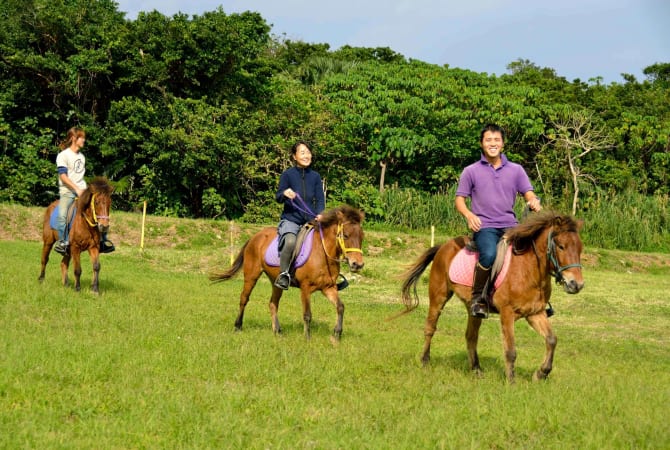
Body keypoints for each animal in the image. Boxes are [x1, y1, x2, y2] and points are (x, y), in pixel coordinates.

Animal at [209, 204, 365, 342]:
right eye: (346, 235)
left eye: (361, 236)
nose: (358, 264)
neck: (323, 253)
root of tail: (255, 237)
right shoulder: (305, 288)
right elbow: (307, 314)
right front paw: (307, 339)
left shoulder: (328, 288)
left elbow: (340, 307)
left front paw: (336, 335)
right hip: (251, 276)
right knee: (244, 299)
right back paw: (238, 326)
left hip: (276, 282)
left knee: (273, 304)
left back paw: (277, 331)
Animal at [398, 211, 584, 382]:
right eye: (561, 246)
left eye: (580, 248)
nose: (577, 284)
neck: (528, 270)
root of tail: (444, 245)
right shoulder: (507, 313)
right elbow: (510, 350)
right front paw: (511, 381)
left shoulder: (535, 313)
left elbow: (552, 340)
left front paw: (541, 373)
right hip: (438, 297)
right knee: (430, 328)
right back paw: (425, 361)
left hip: (472, 308)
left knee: (471, 336)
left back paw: (476, 370)